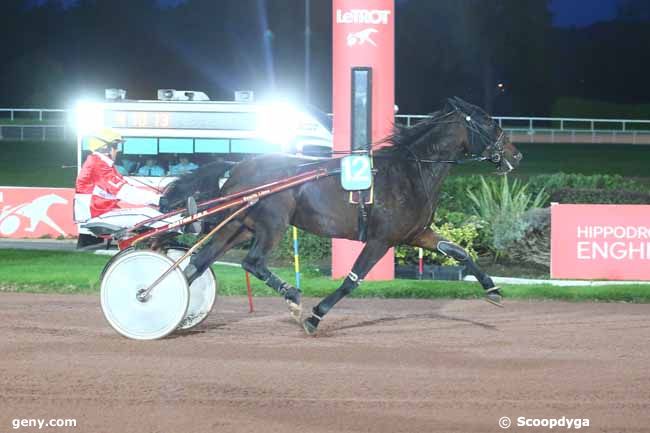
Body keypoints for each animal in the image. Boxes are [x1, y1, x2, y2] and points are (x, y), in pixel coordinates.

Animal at [161, 97, 520, 334]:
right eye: (490, 123)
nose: (516, 154)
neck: (410, 171)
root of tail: (237, 167)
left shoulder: (416, 234)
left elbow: (460, 252)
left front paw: (493, 290)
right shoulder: (380, 239)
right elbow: (352, 280)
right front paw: (314, 316)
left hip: (239, 226)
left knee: (198, 262)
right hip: (273, 224)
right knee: (252, 262)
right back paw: (292, 295)